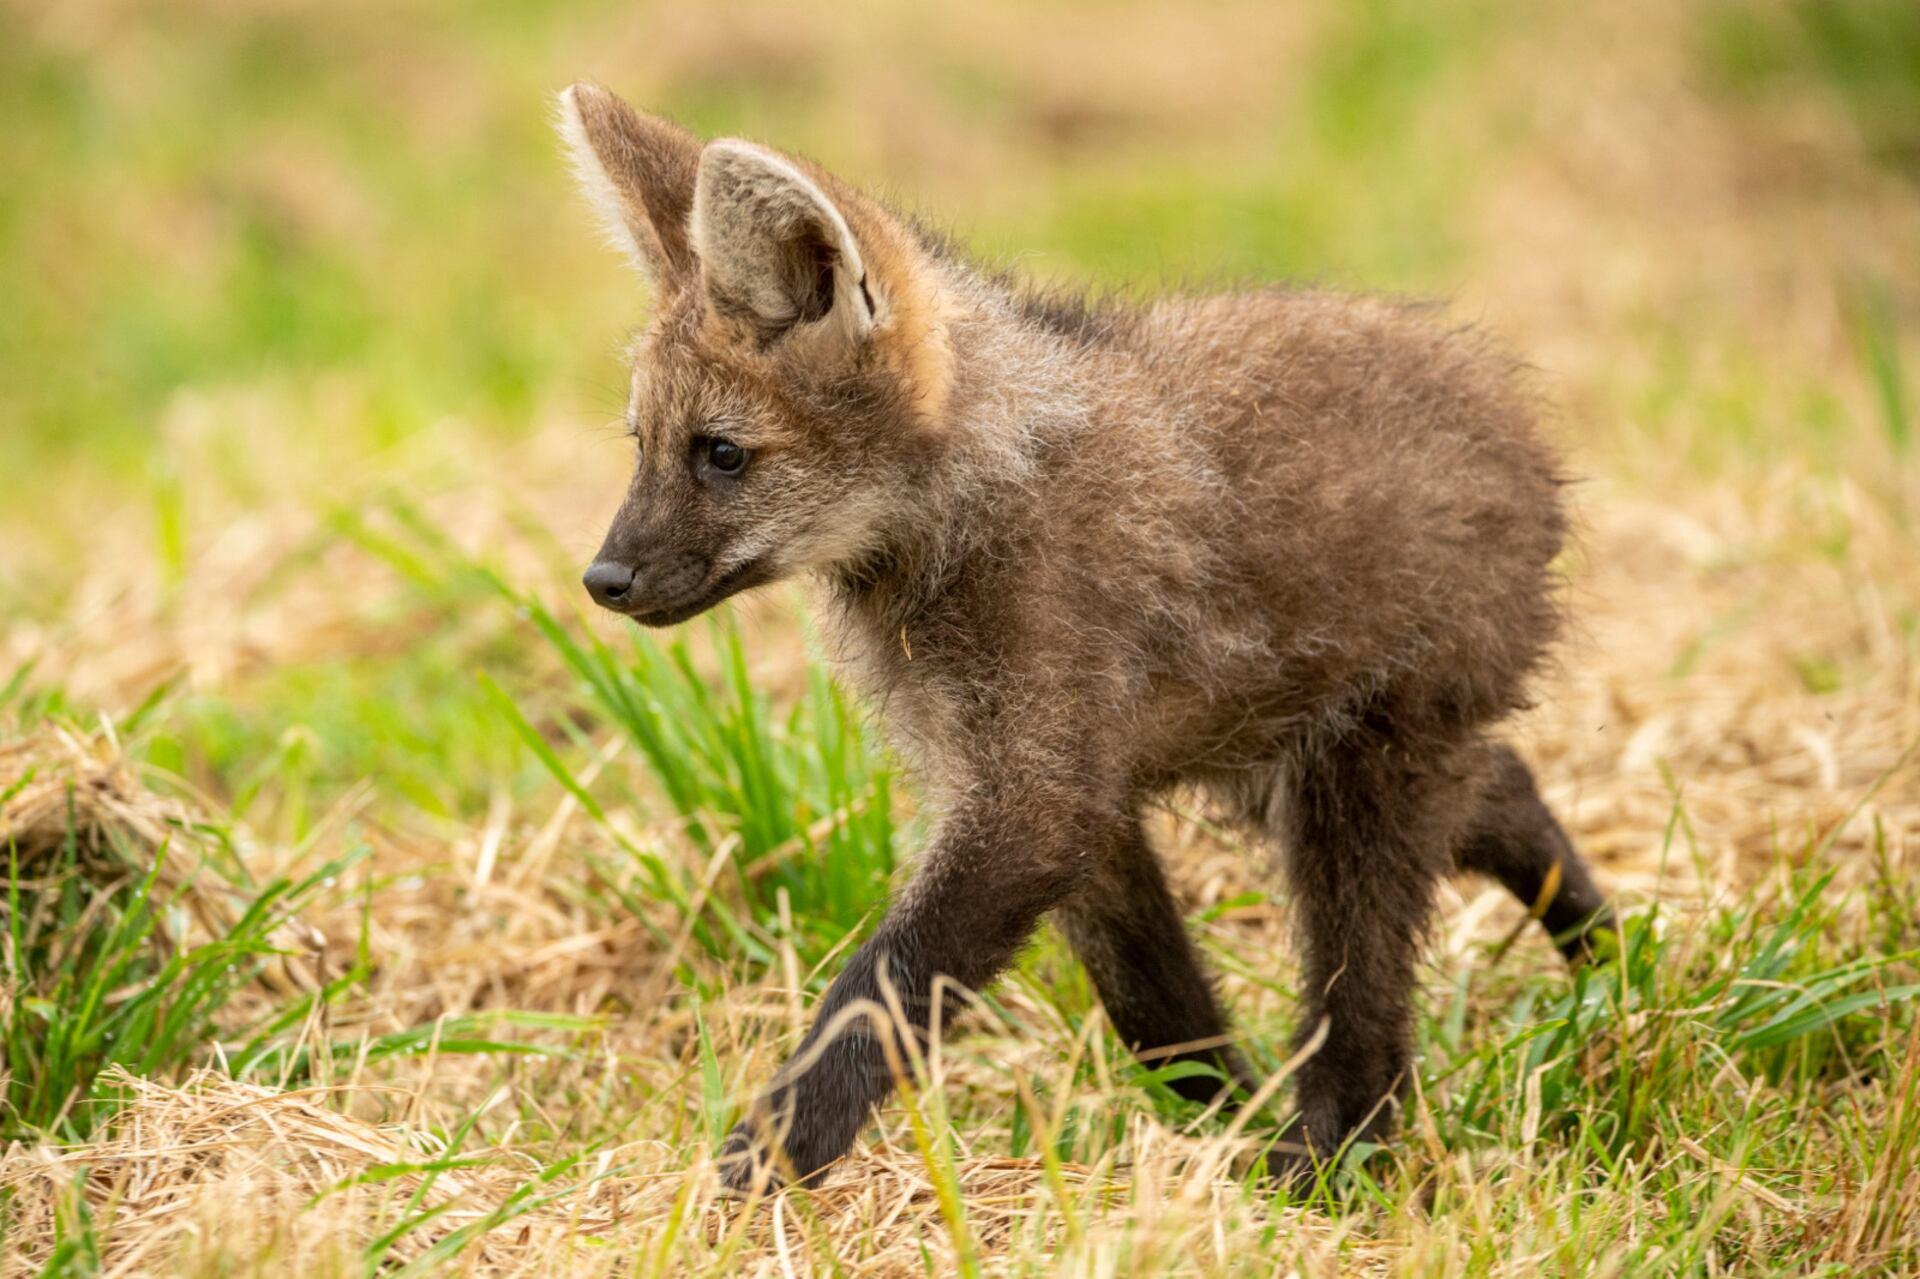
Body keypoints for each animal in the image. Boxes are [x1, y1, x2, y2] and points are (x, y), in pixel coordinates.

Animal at [557, 82, 1613, 1195]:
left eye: (721, 455)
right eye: (642, 447)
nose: (603, 580)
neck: (961, 519)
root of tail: (1518, 422)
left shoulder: (1037, 803)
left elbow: (876, 997)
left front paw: (748, 1176)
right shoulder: (1060, 796)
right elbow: (1158, 1013)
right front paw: (1216, 1135)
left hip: (1348, 778)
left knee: (1364, 997)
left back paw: (1328, 1159)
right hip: (1267, 756)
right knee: (1499, 783)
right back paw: (1615, 960)